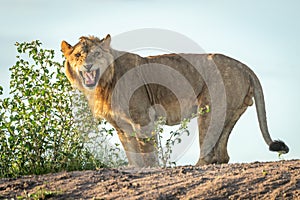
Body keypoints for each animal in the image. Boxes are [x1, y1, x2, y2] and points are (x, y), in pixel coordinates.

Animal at [61, 34, 288, 167]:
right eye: (79, 55)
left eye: (97, 54)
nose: (88, 65)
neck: (103, 84)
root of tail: (244, 66)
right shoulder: (121, 126)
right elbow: (132, 154)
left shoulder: (142, 119)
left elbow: (148, 153)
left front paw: (151, 169)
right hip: (231, 112)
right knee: (222, 152)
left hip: (210, 108)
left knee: (209, 147)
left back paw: (197, 166)